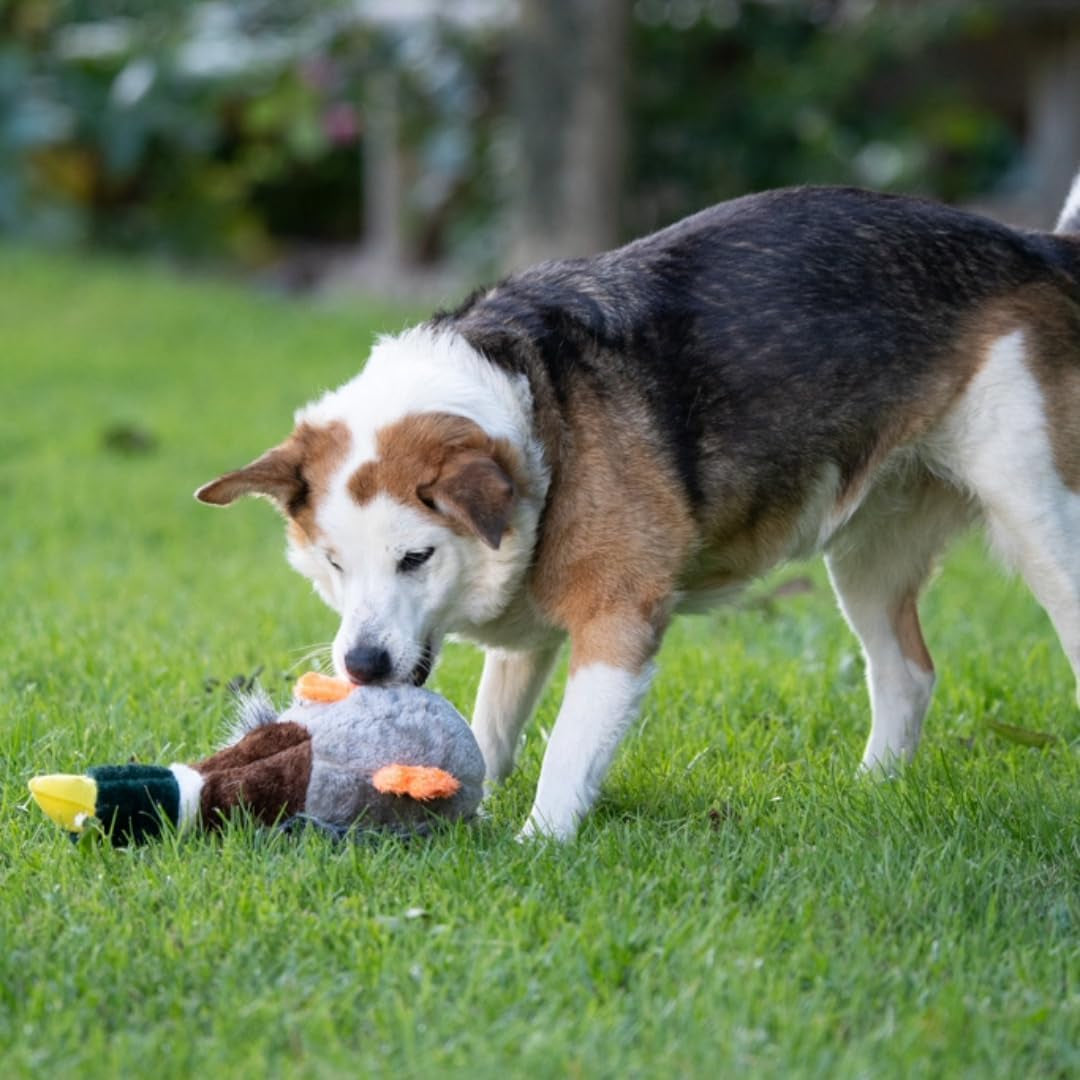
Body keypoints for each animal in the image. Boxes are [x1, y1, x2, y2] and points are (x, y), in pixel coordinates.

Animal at [198, 181, 1080, 842]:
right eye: (332, 564)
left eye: (417, 557)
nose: (362, 667)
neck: (540, 406)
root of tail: (1035, 245)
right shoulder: (526, 631)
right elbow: (492, 727)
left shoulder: (619, 620)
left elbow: (569, 753)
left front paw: (537, 844)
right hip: (865, 552)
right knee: (907, 674)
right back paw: (873, 790)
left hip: (1039, 517)